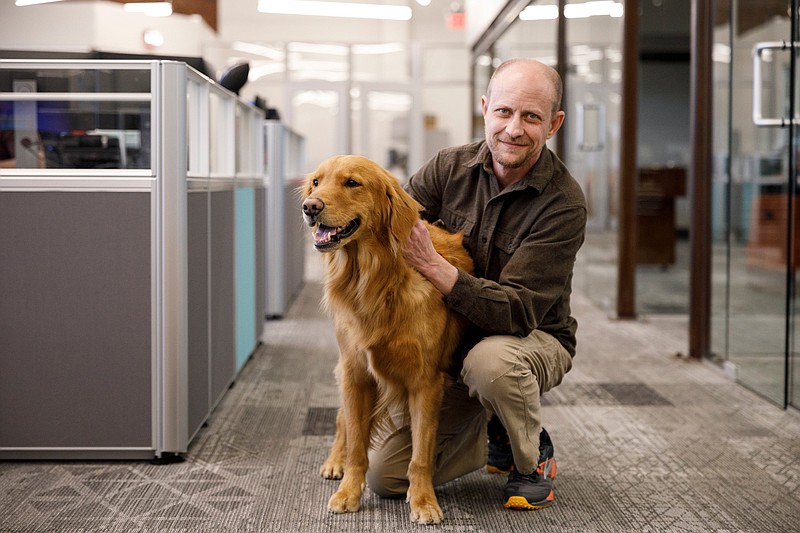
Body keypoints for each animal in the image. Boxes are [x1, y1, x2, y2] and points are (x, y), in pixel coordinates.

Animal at [302, 155, 476, 524]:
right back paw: (335, 461)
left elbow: (420, 453)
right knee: (342, 420)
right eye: (316, 182)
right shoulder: (356, 373)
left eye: (352, 183)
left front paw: (423, 501)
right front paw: (349, 492)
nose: (310, 207)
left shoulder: (426, 383)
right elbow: (357, 445)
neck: (375, 281)